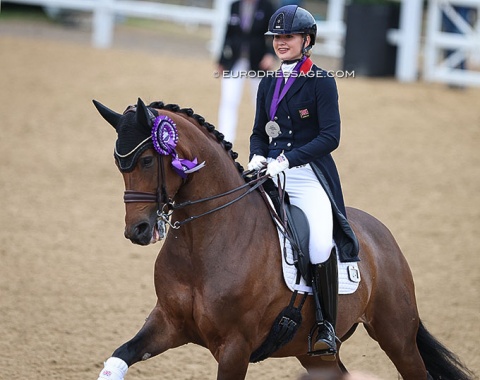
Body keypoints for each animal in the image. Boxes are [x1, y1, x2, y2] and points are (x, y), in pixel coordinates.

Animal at [92, 98, 474, 380]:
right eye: (118, 164)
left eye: (146, 160)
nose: (137, 230)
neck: (202, 244)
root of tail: (383, 236)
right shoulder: (168, 324)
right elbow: (118, 358)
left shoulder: (235, 346)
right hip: (314, 353)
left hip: (397, 336)